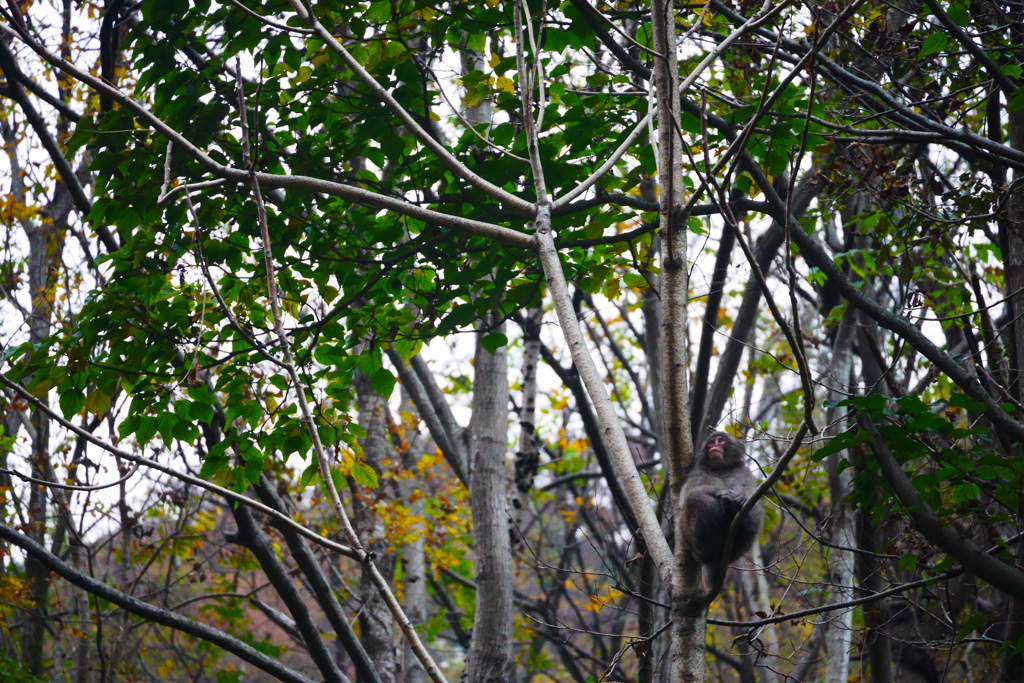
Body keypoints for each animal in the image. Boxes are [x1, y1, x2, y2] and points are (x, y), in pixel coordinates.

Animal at [679, 432, 761, 565]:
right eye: (711, 443)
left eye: (721, 441)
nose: (714, 446)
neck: (721, 468)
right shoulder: (698, 472)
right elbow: (688, 493)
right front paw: (723, 494)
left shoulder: (743, 471)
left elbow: (750, 493)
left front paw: (738, 498)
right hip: (689, 538)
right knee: (693, 498)